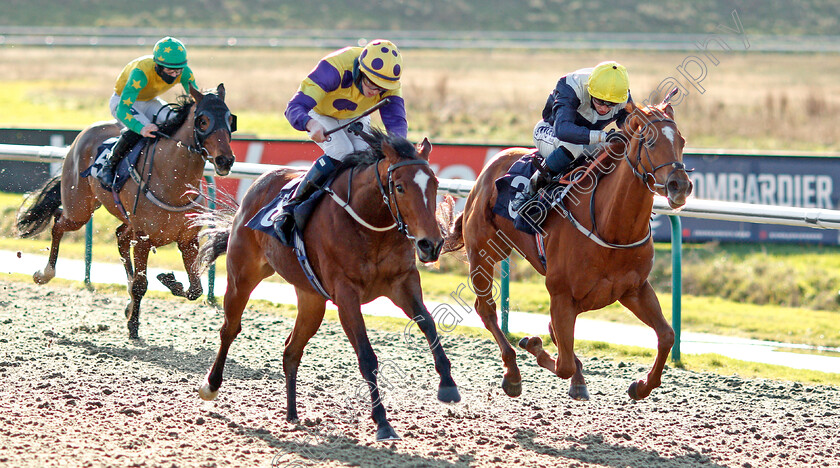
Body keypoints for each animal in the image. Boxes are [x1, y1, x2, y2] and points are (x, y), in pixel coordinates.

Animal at [15, 85, 236, 340]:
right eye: (203, 121)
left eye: (230, 119)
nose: (225, 160)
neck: (172, 180)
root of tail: (84, 134)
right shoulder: (143, 239)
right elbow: (142, 284)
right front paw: (134, 325)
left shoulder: (187, 240)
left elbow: (195, 289)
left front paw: (169, 281)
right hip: (79, 209)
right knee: (59, 222)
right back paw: (45, 273)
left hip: (122, 218)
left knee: (120, 236)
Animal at [196, 129, 460, 442]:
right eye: (399, 187)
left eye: (435, 184)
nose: (431, 244)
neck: (371, 225)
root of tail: (257, 186)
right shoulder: (346, 294)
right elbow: (367, 357)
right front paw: (383, 423)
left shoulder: (403, 282)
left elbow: (429, 324)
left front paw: (448, 386)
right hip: (242, 277)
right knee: (230, 328)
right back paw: (211, 385)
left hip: (311, 299)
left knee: (291, 350)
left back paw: (292, 413)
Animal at [442, 101, 692, 402]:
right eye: (651, 142)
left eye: (681, 141)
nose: (680, 186)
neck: (610, 226)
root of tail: (492, 165)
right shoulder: (561, 294)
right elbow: (563, 363)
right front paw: (535, 346)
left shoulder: (635, 289)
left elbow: (667, 335)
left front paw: (641, 385)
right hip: (483, 252)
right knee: (486, 309)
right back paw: (513, 372)